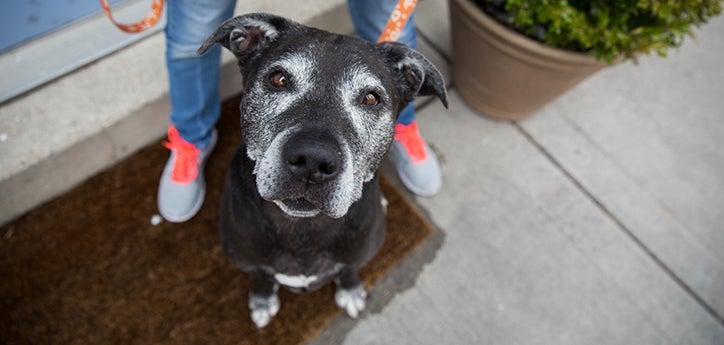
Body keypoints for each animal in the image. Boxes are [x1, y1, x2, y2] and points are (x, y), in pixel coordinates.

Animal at [198, 12, 446, 326]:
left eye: (371, 98)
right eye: (278, 79)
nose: (313, 161)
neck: (304, 227)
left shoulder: (357, 255)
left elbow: (349, 270)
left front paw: (350, 291)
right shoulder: (249, 261)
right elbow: (262, 276)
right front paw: (263, 300)